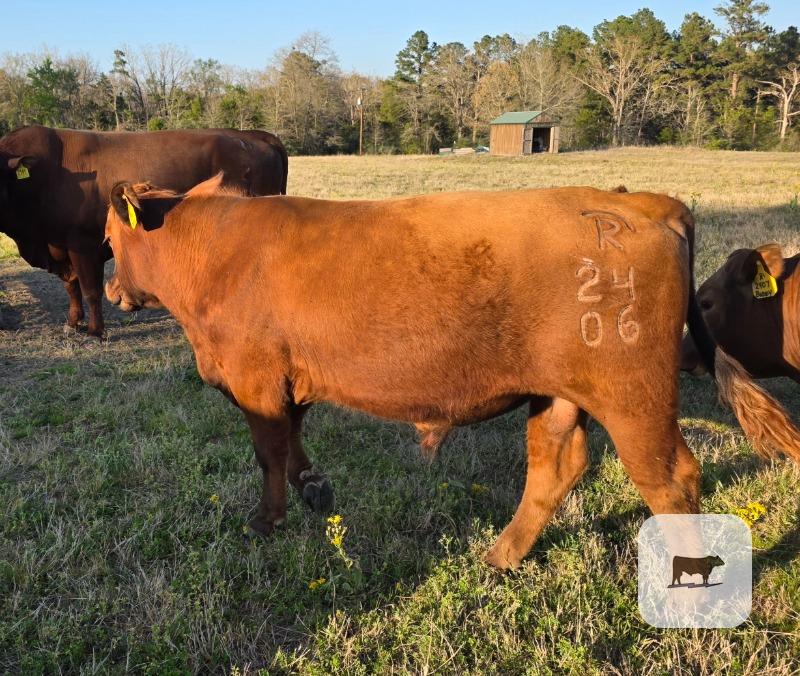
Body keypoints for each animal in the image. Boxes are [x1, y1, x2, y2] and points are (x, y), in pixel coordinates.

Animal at [0, 124, 287, 338]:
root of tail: (253, 135)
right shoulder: (60, 247)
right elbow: (72, 287)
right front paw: (73, 322)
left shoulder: (83, 246)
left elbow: (91, 290)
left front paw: (95, 331)